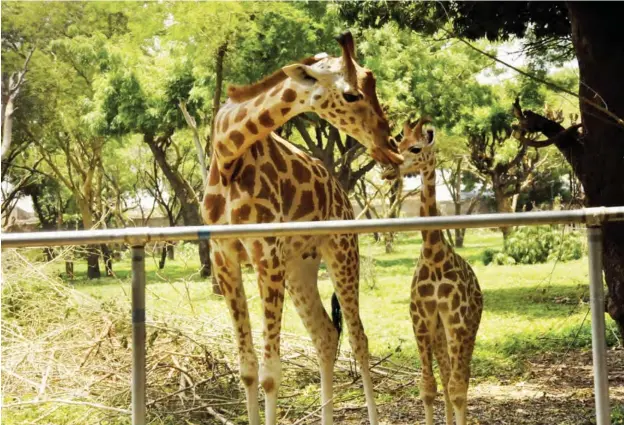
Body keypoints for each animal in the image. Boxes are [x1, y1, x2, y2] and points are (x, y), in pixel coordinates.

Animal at [202, 33, 402, 424]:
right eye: (351, 94)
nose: (390, 148)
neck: (228, 152)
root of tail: (341, 193)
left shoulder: (266, 254)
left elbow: (270, 374)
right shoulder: (224, 258)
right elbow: (247, 369)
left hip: (341, 249)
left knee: (358, 339)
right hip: (299, 265)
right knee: (325, 335)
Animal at [382, 117, 486, 424]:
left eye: (415, 148)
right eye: (397, 143)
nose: (387, 170)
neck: (433, 255)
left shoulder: (457, 321)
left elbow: (457, 388)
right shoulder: (420, 321)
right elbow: (428, 387)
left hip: (468, 328)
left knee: (461, 377)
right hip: (440, 331)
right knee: (447, 371)